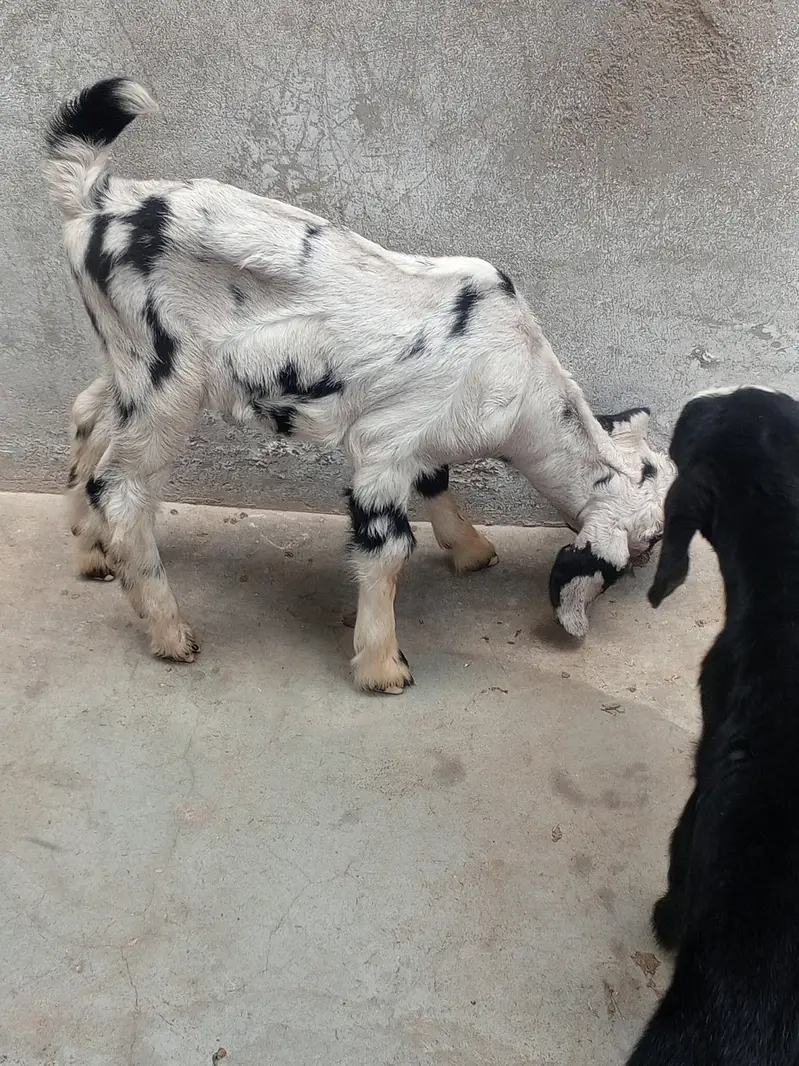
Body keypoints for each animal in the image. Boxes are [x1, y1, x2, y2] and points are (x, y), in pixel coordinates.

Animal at [45, 77, 673, 693]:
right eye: (653, 537)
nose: (653, 575)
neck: (521, 379)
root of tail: (96, 200)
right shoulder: (384, 446)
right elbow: (387, 548)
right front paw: (383, 666)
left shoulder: (421, 437)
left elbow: (436, 478)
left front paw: (472, 550)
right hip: (166, 378)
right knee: (123, 489)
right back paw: (170, 632)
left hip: (127, 359)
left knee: (87, 413)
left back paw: (91, 552)